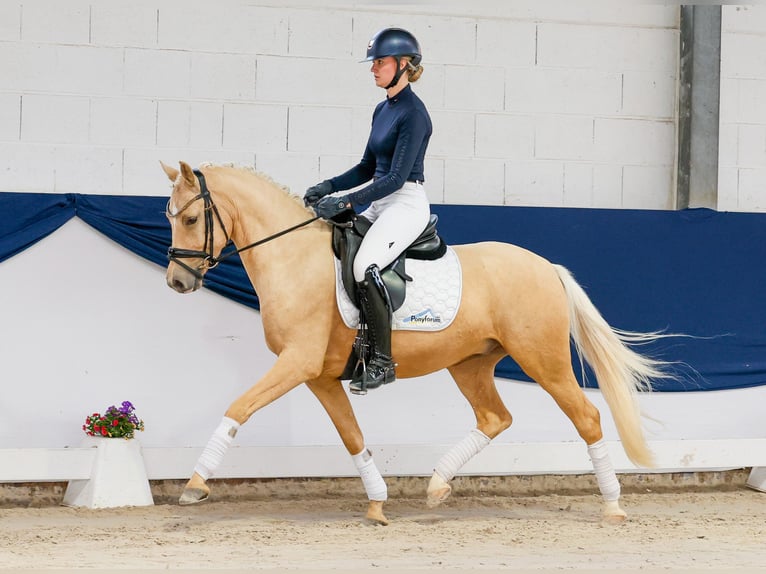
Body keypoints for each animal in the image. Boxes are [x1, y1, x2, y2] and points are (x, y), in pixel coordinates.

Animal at [161, 160, 671, 525]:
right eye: (169, 218)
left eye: (191, 218)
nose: (177, 282)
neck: (294, 258)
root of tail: (547, 267)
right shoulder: (319, 376)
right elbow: (352, 436)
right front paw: (377, 504)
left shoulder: (297, 363)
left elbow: (239, 407)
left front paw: (195, 483)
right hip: (470, 364)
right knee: (495, 417)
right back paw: (437, 486)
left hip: (542, 360)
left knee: (586, 417)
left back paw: (613, 505)